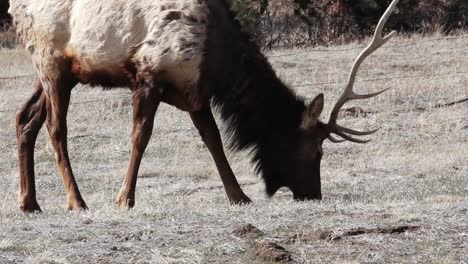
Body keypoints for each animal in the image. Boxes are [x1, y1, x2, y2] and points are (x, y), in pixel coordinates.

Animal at [9, 0, 400, 211]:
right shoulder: (148, 76)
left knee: (24, 118)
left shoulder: (194, 92)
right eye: (316, 152)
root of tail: (15, 7)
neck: (217, 59)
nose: (313, 196)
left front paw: (239, 196)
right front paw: (124, 199)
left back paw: (29, 202)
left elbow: (214, 141)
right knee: (56, 130)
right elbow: (140, 138)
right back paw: (76, 201)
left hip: (60, 74)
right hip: (51, 62)